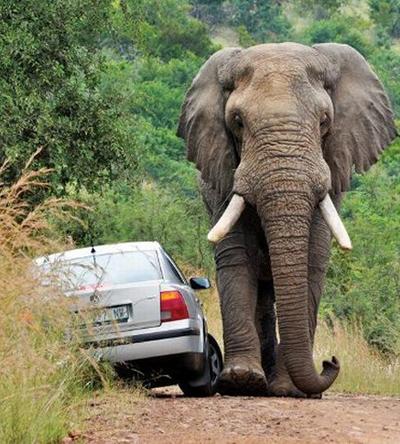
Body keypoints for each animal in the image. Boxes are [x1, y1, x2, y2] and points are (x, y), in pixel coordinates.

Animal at [177, 41, 396, 398]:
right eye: (237, 121)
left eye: (324, 121)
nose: (330, 362)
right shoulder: (221, 176)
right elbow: (236, 257)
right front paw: (240, 380)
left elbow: (312, 259)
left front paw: (289, 389)